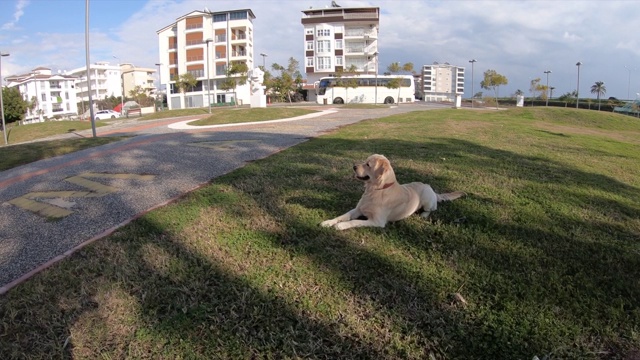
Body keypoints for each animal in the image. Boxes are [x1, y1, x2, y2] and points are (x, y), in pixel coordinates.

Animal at [320, 153, 464, 229]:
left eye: (368, 164)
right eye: (364, 161)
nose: (354, 166)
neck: (375, 190)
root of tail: (430, 187)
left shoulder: (377, 221)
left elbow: (354, 221)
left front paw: (341, 226)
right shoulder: (357, 209)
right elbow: (343, 216)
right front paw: (328, 222)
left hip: (427, 199)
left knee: (432, 209)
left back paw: (423, 214)